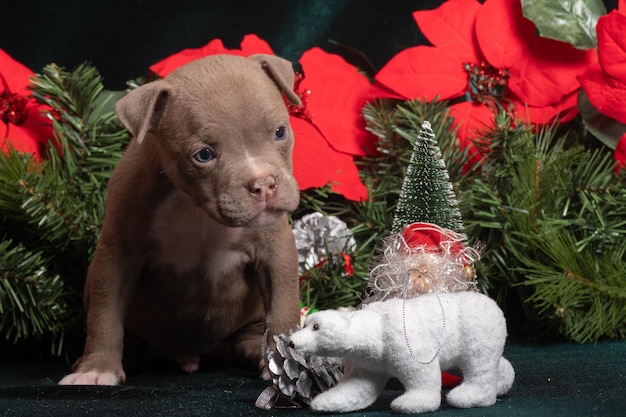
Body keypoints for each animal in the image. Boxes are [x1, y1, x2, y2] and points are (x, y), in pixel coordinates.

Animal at [58, 53, 300, 386]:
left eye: (280, 132)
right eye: (204, 155)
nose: (263, 184)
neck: (194, 205)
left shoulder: (275, 250)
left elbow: (283, 307)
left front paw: (286, 366)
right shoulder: (117, 255)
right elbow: (105, 313)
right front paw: (96, 369)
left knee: (248, 336)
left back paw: (257, 351)